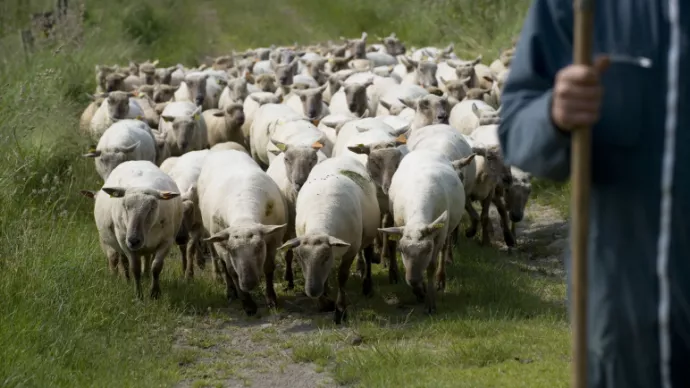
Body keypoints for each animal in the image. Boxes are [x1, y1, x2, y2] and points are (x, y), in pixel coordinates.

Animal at [95, 159, 185, 298]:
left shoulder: (167, 241)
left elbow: (156, 267)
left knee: (147, 259)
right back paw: (126, 280)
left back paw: (146, 276)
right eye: (124, 205)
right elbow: (135, 268)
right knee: (123, 261)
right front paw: (138, 295)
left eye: (153, 206)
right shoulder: (124, 242)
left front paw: (155, 293)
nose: (134, 240)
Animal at [159, 149, 210, 278]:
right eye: (174, 215)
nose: (181, 238)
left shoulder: (198, 224)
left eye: (188, 211)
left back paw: (200, 260)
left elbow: (190, 247)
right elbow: (183, 248)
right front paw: (183, 268)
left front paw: (189, 274)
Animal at [196, 149, 288, 316]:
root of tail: (224, 150)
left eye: (259, 248)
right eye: (232, 250)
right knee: (222, 264)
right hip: (213, 237)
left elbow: (269, 267)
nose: (248, 283)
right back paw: (231, 291)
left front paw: (271, 299)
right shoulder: (223, 245)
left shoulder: (273, 240)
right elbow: (232, 271)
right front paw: (248, 304)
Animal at [276, 155, 378, 324]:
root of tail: (340, 156)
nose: (312, 291)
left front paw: (340, 310)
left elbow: (342, 278)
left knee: (368, 255)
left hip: (369, 233)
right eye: (301, 259)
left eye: (325, 257)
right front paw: (324, 302)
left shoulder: (352, 248)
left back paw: (367, 286)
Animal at [376, 149, 472, 312]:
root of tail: (426, 150)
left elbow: (431, 267)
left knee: (444, 249)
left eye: (427, 250)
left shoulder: (438, 235)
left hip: (446, 229)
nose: (414, 280)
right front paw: (419, 291)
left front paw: (430, 302)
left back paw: (441, 279)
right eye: (402, 250)